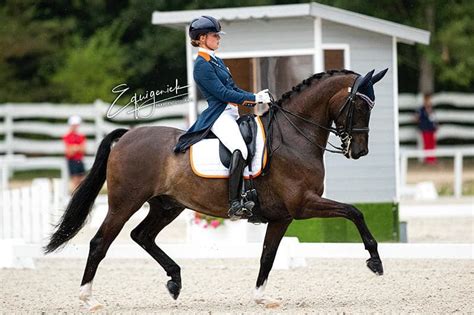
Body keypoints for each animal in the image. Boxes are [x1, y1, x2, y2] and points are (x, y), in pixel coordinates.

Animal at [43, 67, 386, 312]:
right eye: (359, 104)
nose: (360, 151)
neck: (293, 137)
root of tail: (127, 136)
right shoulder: (303, 205)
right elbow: (354, 212)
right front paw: (375, 262)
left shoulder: (283, 216)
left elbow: (267, 256)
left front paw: (261, 298)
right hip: (125, 203)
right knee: (100, 242)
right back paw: (88, 298)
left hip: (167, 205)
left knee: (142, 235)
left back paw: (175, 280)